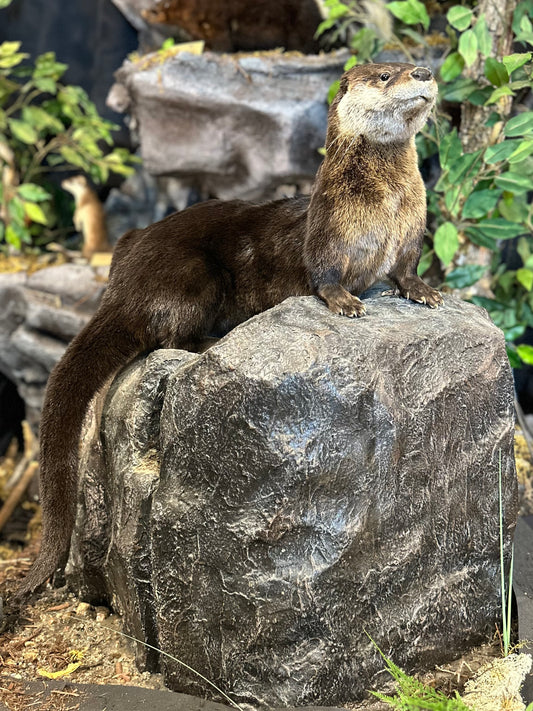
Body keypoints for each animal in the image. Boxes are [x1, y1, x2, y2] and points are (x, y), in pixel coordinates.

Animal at [16, 62, 441, 599]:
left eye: (414, 64)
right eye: (386, 75)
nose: (423, 72)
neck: (385, 204)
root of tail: (122, 280)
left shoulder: (409, 234)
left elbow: (406, 270)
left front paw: (425, 291)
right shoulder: (326, 235)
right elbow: (323, 276)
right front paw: (346, 302)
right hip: (193, 275)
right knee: (168, 338)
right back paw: (211, 340)